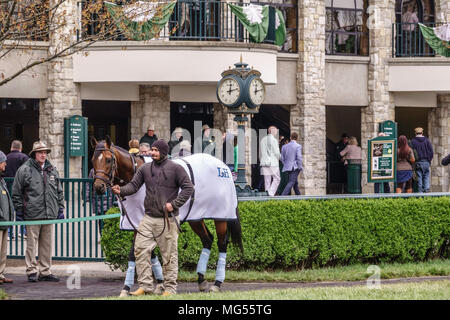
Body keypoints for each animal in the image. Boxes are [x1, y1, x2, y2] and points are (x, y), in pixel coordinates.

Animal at [90, 136, 243, 292]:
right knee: (207, 239)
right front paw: (159, 283)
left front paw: (126, 288)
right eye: (92, 159)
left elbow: (134, 253)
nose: (99, 187)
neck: (135, 172)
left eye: (108, 159)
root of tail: (224, 167)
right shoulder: (139, 224)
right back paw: (201, 279)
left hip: (221, 216)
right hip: (196, 218)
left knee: (222, 243)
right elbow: (149, 252)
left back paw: (217, 283)